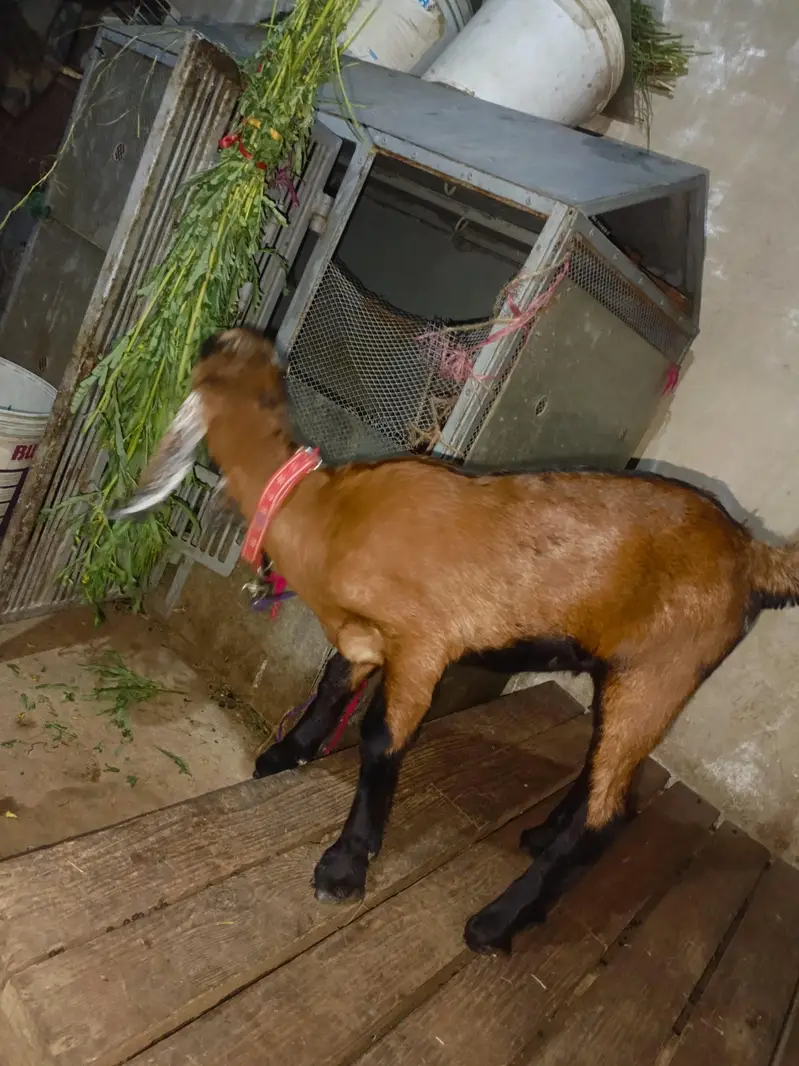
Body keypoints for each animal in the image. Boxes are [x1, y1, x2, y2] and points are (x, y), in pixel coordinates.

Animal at [118, 326, 799, 954]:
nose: (221, 336)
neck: (322, 511)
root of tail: (753, 554)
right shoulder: (365, 639)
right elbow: (332, 685)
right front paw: (284, 757)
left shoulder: (424, 644)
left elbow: (380, 738)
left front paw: (345, 866)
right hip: (628, 676)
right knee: (602, 778)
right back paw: (541, 836)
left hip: (661, 672)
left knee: (609, 815)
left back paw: (497, 923)